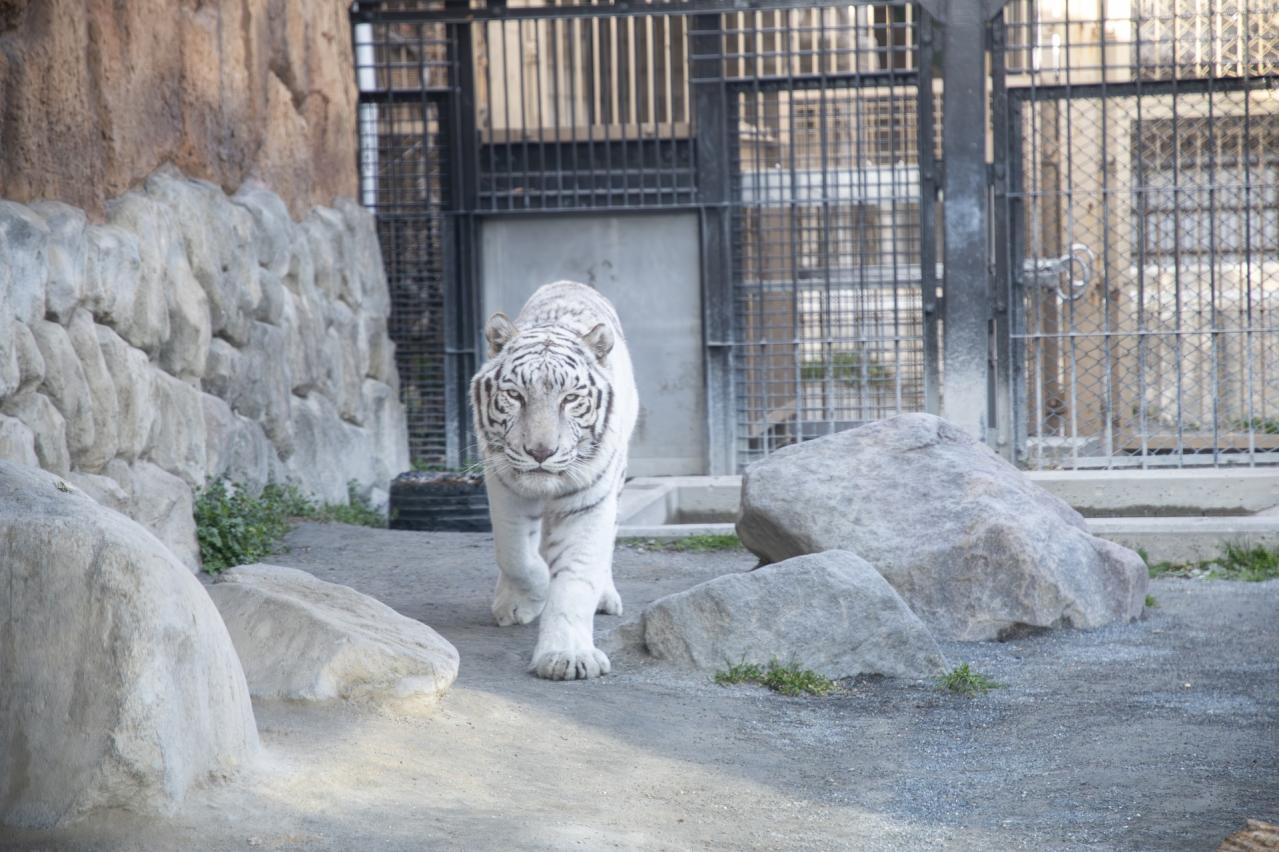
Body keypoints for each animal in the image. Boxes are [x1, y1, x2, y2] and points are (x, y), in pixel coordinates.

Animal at [470, 281, 639, 680]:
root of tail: (570, 283)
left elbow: (576, 577)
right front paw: (529, 596)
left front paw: (568, 656)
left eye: (571, 398)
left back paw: (604, 596)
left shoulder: (589, 502)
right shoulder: (504, 487)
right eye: (515, 395)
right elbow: (515, 554)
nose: (541, 452)